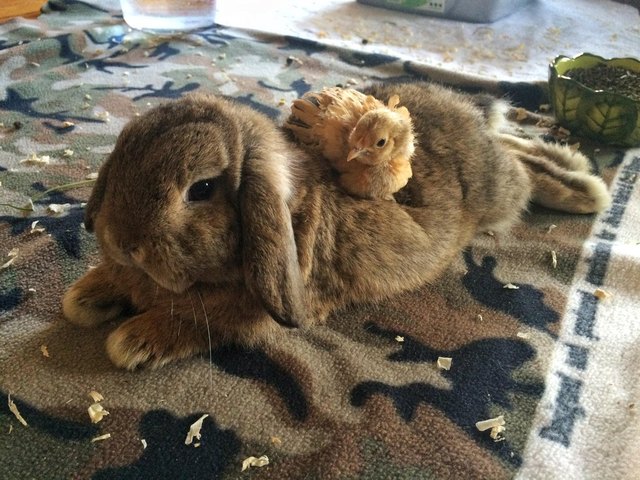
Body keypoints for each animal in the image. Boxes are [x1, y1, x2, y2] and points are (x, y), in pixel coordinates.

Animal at [62, 82, 611, 370]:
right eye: (122, 157)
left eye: (200, 190)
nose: (125, 243)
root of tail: (469, 116)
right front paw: (84, 299)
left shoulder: (247, 313)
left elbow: (196, 322)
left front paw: (130, 341)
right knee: (517, 148)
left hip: (498, 194)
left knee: (526, 174)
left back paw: (587, 190)